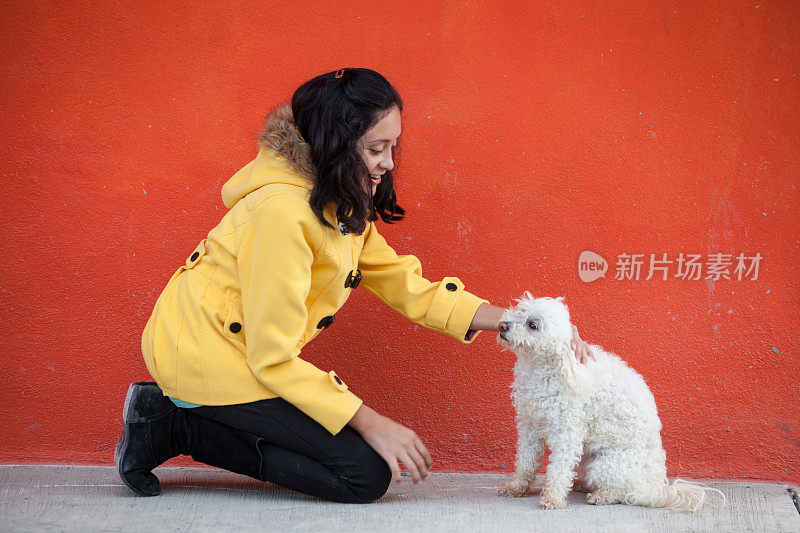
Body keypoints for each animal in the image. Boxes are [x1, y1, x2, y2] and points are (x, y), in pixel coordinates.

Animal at [496, 294, 720, 510]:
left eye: (533, 325)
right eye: (520, 311)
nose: (502, 325)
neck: (545, 369)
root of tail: (653, 488)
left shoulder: (567, 430)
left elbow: (559, 467)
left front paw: (552, 498)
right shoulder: (530, 424)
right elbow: (526, 460)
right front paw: (517, 487)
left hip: (606, 464)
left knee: (622, 493)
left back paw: (601, 495)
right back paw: (581, 484)